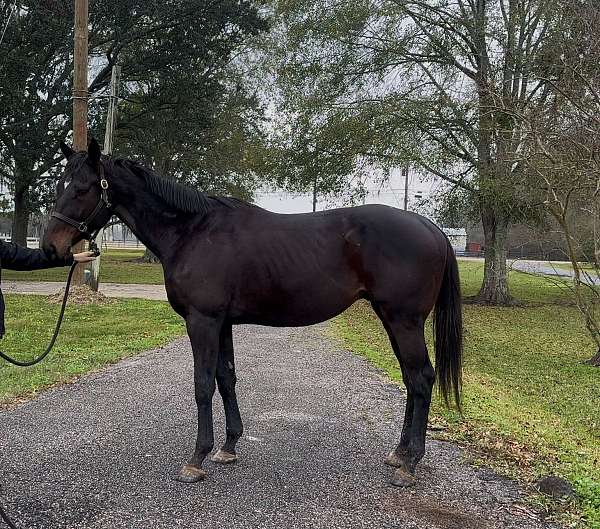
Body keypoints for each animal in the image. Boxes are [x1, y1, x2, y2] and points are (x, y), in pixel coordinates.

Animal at [43, 139, 464, 486]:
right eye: (60, 185)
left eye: (81, 189)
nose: (51, 247)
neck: (192, 232)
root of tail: (431, 228)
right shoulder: (222, 323)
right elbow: (226, 379)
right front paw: (227, 447)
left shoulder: (203, 321)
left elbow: (202, 384)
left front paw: (196, 459)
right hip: (391, 319)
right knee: (411, 379)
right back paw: (399, 453)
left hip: (404, 321)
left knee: (422, 378)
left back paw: (410, 464)